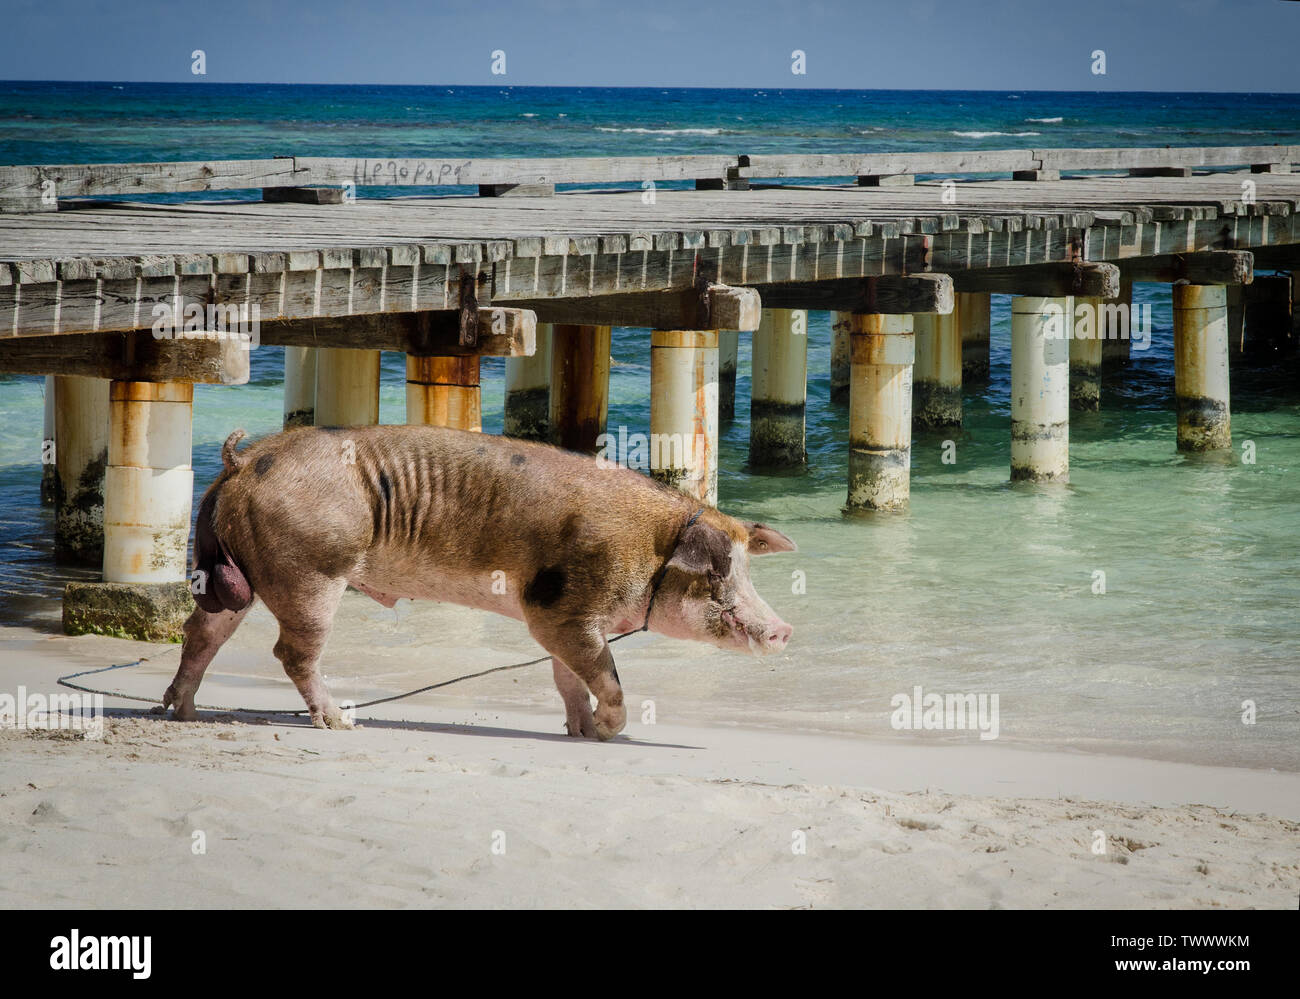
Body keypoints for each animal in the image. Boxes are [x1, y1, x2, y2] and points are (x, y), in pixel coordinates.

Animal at [162, 426, 790, 738]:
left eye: (746, 569)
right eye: (719, 574)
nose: (784, 630)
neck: (649, 547)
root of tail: (243, 462)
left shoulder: (557, 616)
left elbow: (568, 677)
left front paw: (579, 732)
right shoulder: (565, 610)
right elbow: (605, 674)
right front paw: (613, 732)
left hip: (241, 570)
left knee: (203, 630)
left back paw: (184, 712)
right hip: (313, 570)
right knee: (290, 651)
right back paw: (339, 723)